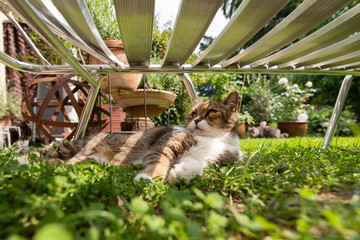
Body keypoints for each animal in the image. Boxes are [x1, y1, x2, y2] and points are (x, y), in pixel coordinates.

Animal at [35, 91, 242, 185]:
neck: (211, 139)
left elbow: (197, 166)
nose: (197, 120)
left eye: (211, 112)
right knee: (53, 157)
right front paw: (148, 177)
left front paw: (179, 173)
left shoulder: (219, 159)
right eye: (193, 113)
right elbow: (159, 160)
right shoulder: (166, 145)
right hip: (73, 150)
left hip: (90, 160)